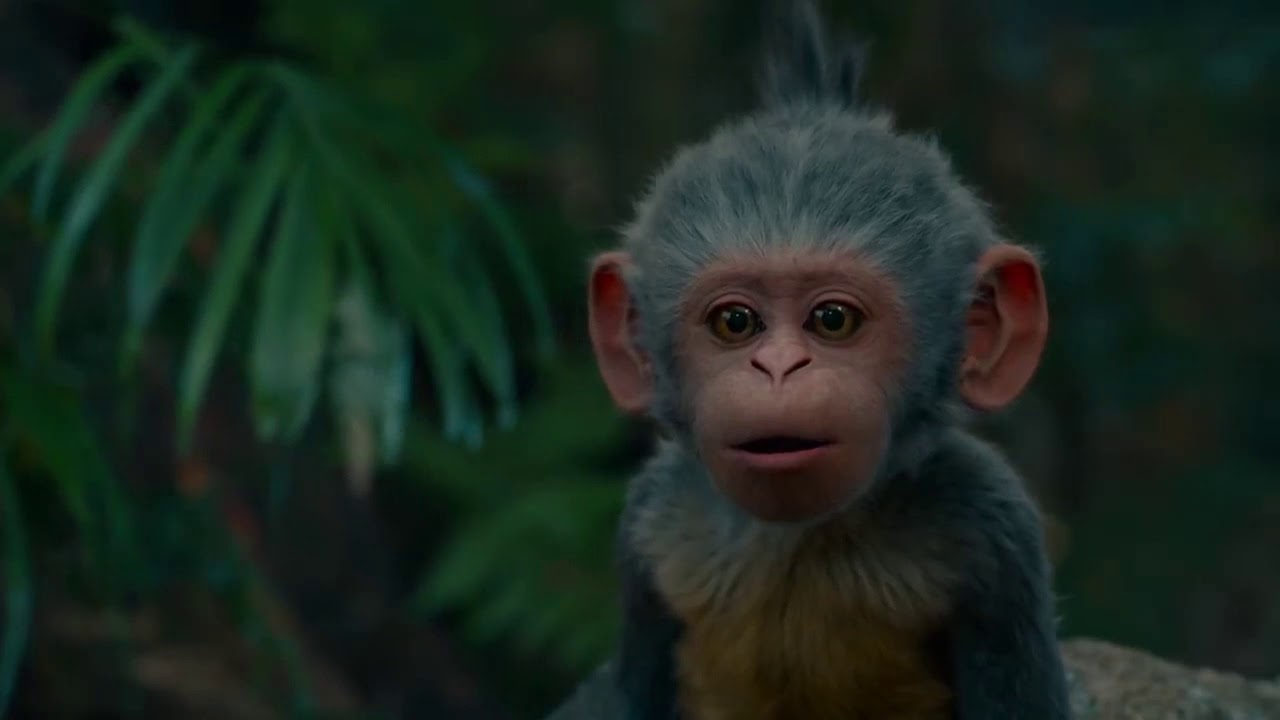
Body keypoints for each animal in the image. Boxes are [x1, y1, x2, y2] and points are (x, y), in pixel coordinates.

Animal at [548, 2, 1071, 719]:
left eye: (833, 320)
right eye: (735, 323)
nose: (778, 367)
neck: (794, 541)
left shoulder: (993, 531)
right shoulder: (649, 523)